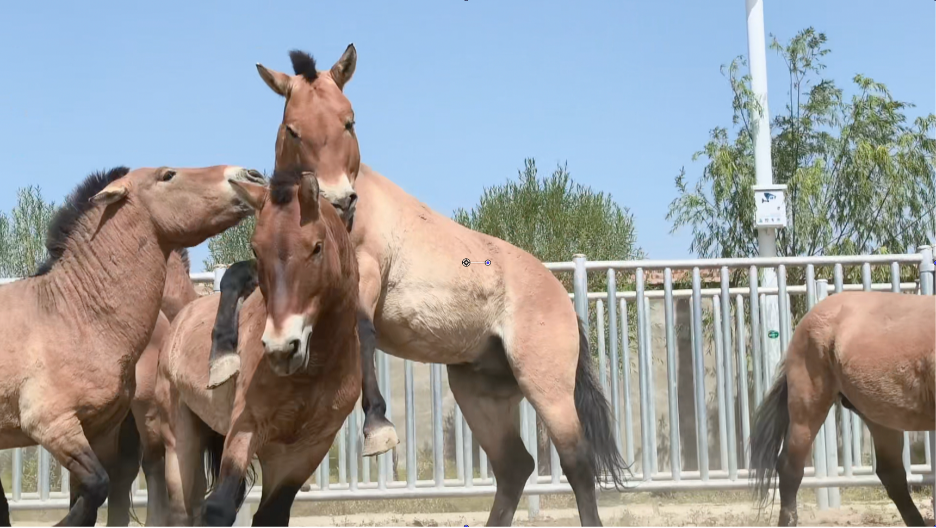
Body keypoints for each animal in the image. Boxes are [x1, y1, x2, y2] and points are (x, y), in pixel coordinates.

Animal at [158, 168, 361, 526]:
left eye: (317, 247)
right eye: (256, 250)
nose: (282, 348)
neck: (313, 373)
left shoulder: (302, 452)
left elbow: (272, 514)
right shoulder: (246, 428)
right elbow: (219, 507)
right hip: (181, 440)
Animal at [209, 46, 629, 527]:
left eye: (349, 121)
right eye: (293, 128)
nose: (339, 201)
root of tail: (560, 297)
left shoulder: (366, 275)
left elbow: (364, 331)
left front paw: (377, 428)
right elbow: (233, 275)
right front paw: (221, 358)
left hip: (547, 388)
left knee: (577, 461)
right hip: (481, 393)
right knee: (514, 466)